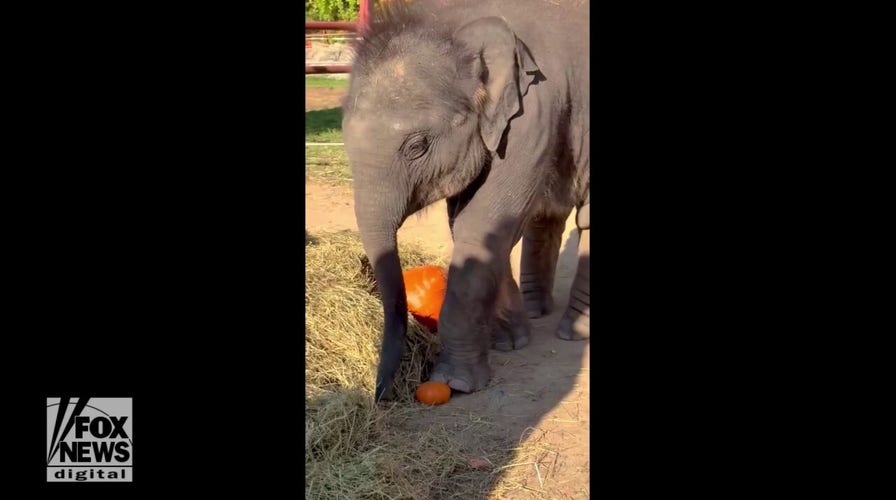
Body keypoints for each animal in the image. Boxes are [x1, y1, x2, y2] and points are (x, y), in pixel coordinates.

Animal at [342, 0, 590, 401]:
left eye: (417, 147)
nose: (382, 394)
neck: (456, 18)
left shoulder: (535, 110)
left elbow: (484, 223)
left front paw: (454, 382)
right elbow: (467, 223)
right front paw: (510, 342)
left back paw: (573, 332)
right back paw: (538, 311)